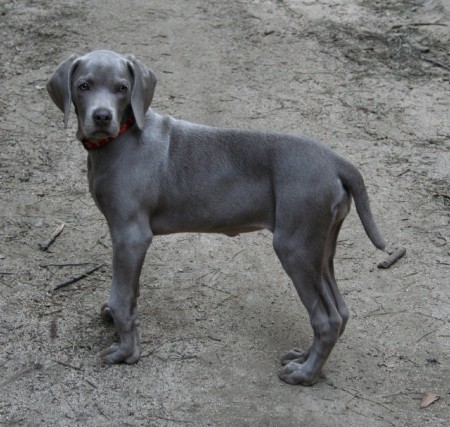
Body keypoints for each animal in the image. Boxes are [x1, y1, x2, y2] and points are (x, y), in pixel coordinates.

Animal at [46, 50, 386, 388]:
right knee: (340, 311)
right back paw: (304, 357)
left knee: (326, 319)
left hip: (295, 246)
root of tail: (336, 161)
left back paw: (304, 374)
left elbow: (120, 297)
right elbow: (130, 292)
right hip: (321, 245)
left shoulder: (130, 235)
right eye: (84, 86)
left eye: (122, 88)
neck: (121, 137)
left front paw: (126, 352)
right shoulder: (131, 242)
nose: (102, 117)